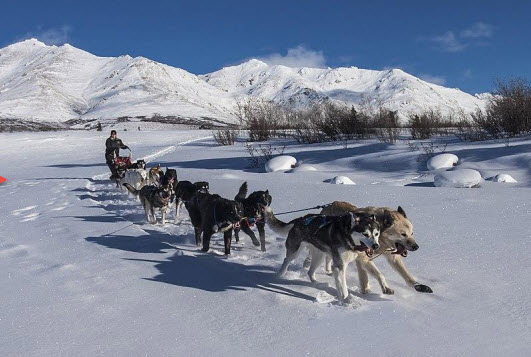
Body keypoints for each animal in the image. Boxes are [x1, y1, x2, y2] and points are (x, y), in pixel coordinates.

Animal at [306, 202, 434, 294]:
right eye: (403, 234)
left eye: (412, 233)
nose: (416, 247)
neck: (380, 235)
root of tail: (329, 205)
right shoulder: (363, 259)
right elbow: (378, 275)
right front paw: (374, 290)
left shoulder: (392, 258)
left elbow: (406, 275)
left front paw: (417, 285)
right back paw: (308, 263)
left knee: (328, 257)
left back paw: (328, 270)